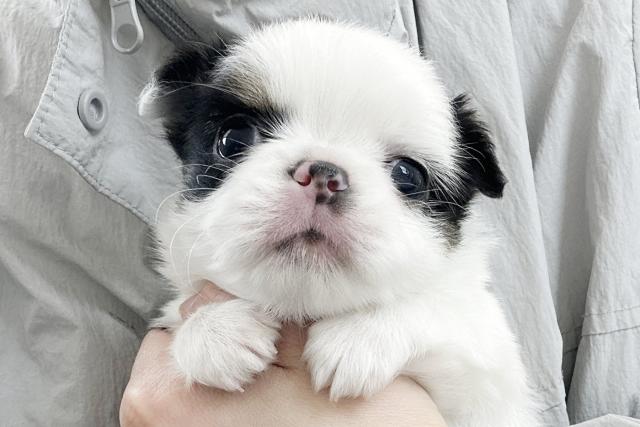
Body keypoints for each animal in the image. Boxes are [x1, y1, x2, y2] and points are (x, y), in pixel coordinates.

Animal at [139, 19, 536, 427]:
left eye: (407, 175)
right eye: (233, 139)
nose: (324, 174)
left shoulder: (490, 376)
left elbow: (443, 307)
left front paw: (362, 334)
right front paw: (215, 328)